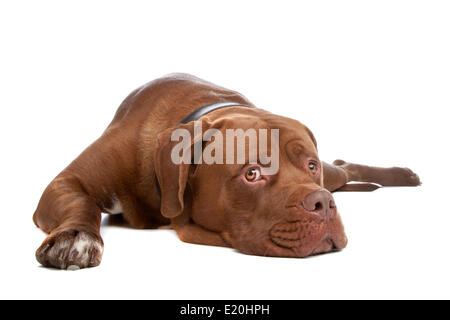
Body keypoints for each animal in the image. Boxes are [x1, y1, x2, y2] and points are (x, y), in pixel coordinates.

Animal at [32, 74, 422, 268]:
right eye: (252, 174)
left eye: (310, 166)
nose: (323, 203)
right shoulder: (67, 182)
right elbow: (81, 203)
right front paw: (75, 238)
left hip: (335, 176)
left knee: (341, 167)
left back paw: (402, 175)